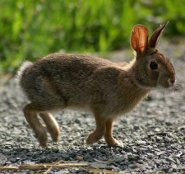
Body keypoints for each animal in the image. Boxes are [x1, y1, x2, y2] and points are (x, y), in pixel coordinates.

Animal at [18, 21, 176, 147]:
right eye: (154, 65)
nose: (172, 80)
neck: (132, 79)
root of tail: (24, 74)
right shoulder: (98, 108)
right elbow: (101, 130)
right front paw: (89, 140)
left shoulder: (110, 115)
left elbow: (108, 131)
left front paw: (115, 144)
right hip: (55, 100)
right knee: (27, 109)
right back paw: (43, 138)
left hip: (52, 101)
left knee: (39, 110)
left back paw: (54, 134)